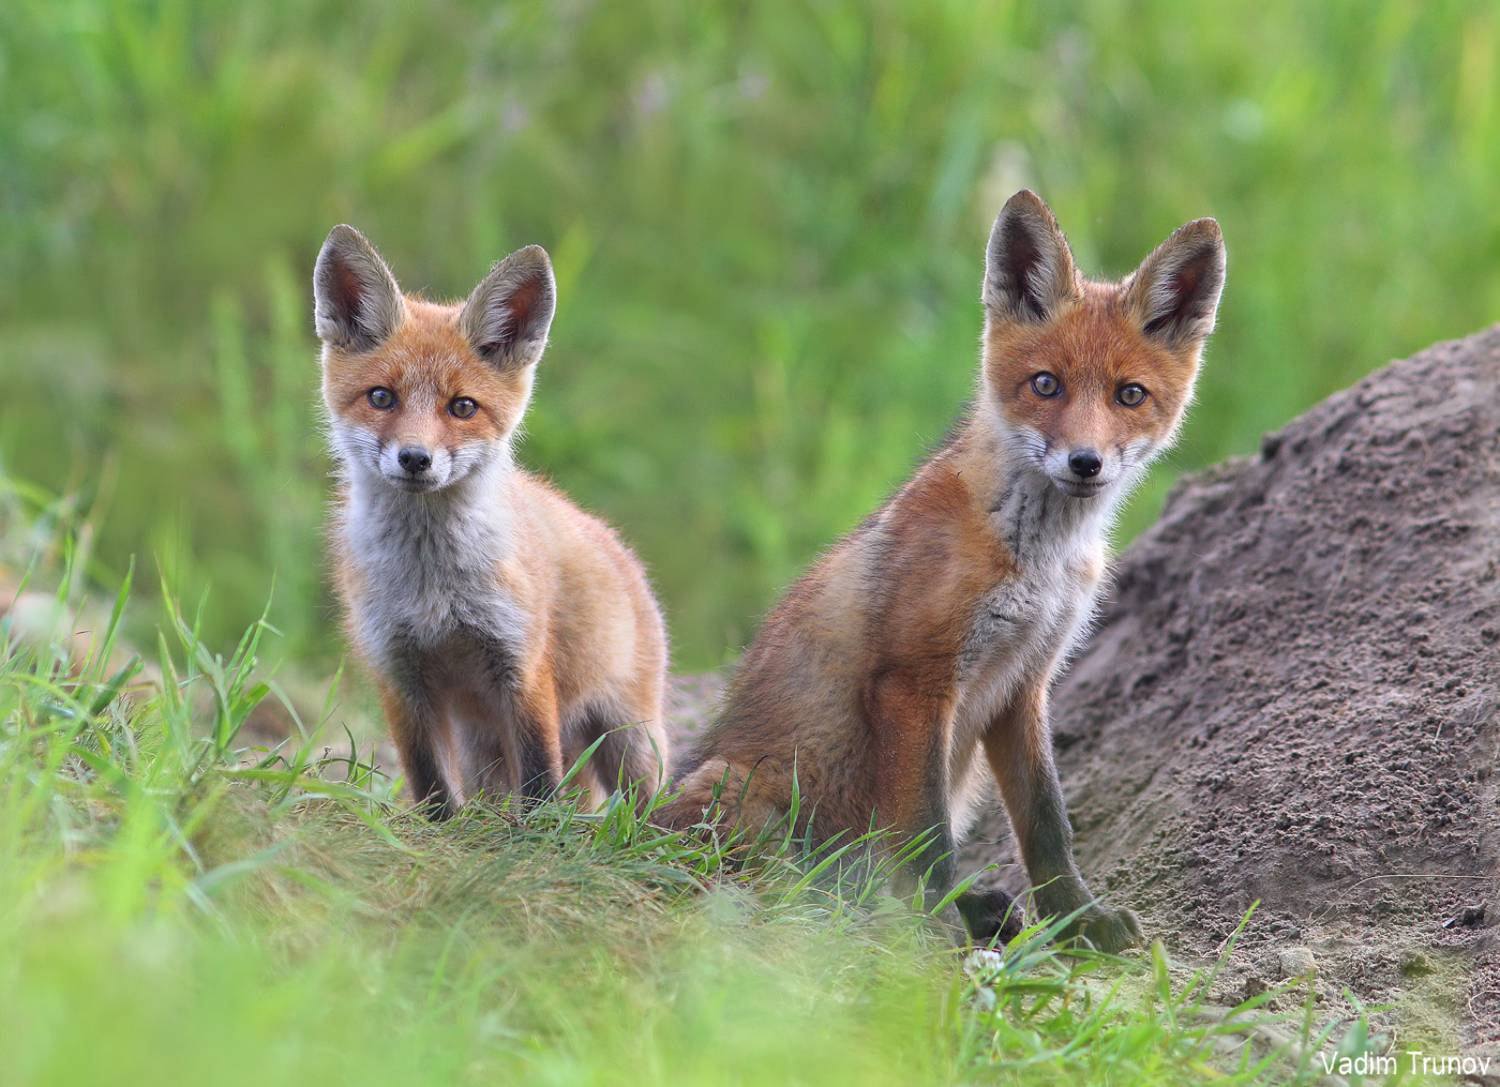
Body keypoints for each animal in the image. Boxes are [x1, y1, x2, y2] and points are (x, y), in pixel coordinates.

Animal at [313, 225, 669, 816]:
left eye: (462, 407)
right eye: (381, 398)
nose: (415, 458)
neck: (432, 583)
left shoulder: (521, 662)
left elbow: (541, 776)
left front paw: (541, 832)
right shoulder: (398, 671)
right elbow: (429, 781)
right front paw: (443, 827)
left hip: (629, 735)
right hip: (479, 740)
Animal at [661, 191, 1225, 951]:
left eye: (1129, 395)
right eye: (1045, 385)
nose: (1085, 462)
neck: (1038, 559)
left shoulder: (1025, 684)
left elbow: (1048, 826)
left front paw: (1077, 918)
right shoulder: (915, 681)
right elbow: (927, 836)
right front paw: (933, 934)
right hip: (743, 794)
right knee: (789, 890)